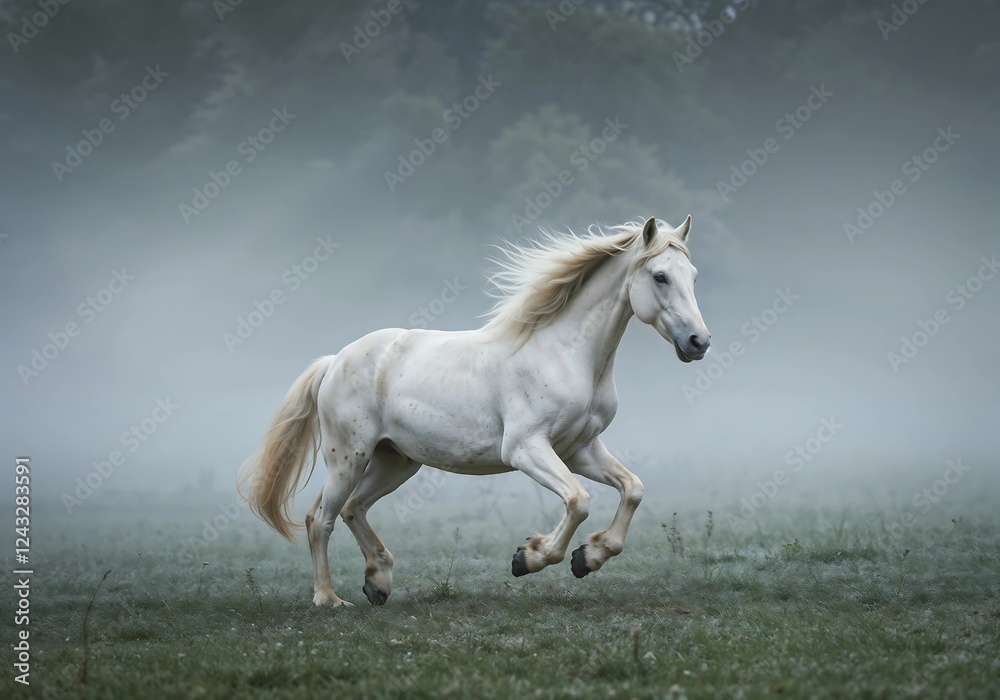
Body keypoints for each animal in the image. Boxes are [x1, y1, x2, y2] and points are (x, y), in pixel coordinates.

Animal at [239, 215, 710, 608]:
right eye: (660, 276)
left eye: (692, 276)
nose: (699, 342)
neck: (564, 354)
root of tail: (335, 360)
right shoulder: (525, 449)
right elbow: (579, 501)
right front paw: (529, 557)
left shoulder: (580, 449)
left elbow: (632, 489)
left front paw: (588, 557)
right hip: (348, 457)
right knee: (320, 519)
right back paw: (329, 600)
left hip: (395, 461)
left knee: (352, 508)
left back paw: (378, 582)